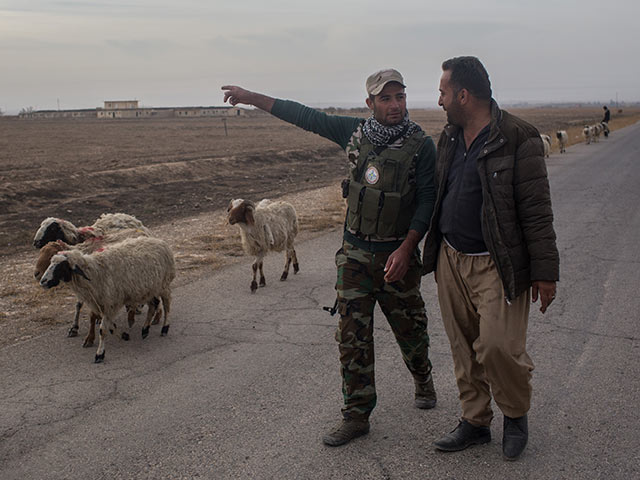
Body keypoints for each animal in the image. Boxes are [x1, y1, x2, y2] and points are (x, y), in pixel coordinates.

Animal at [39, 236, 175, 364]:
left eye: (61, 266)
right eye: (51, 263)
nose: (43, 281)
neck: (95, 272)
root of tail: (160, 241)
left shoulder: (110, 303)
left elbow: (103, 329)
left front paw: (100, 354)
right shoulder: (100, 304)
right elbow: (107, 325)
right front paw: (124, 335)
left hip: (163, 284)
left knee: (167, 305)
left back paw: (164, 328)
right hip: (148, 288)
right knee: (153, 305)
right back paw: (145, 329)